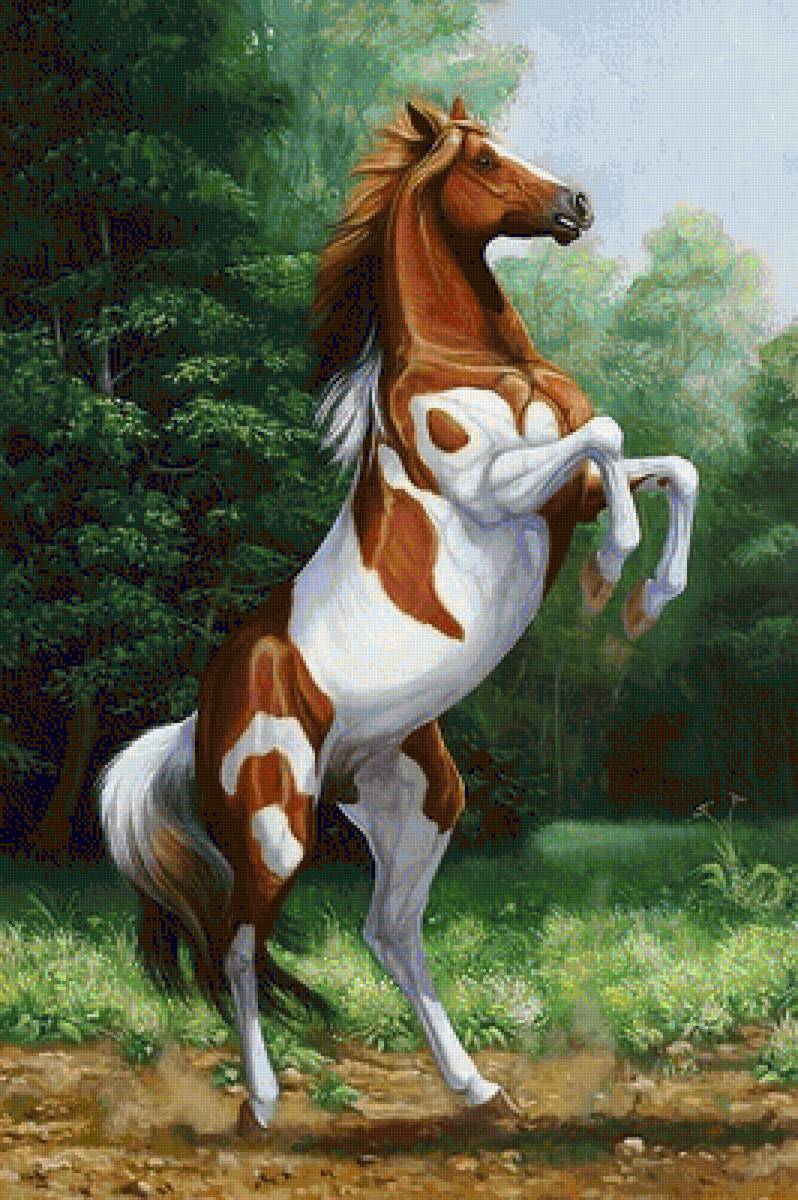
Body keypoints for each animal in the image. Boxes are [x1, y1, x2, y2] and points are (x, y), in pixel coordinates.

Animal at [100, 96, 698, 1133]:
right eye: (487, 161)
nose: (576, 206)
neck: (477, 363)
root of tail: (196, 720)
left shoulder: (564, 495)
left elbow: (667, 465)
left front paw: (643, 600)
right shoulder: (498, 489)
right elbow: (612, 434)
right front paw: (611, 574)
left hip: (417, 801)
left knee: (388, 933)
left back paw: (475, 1087)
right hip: (276, 826)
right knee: (239, 945)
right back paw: (263, 1106)